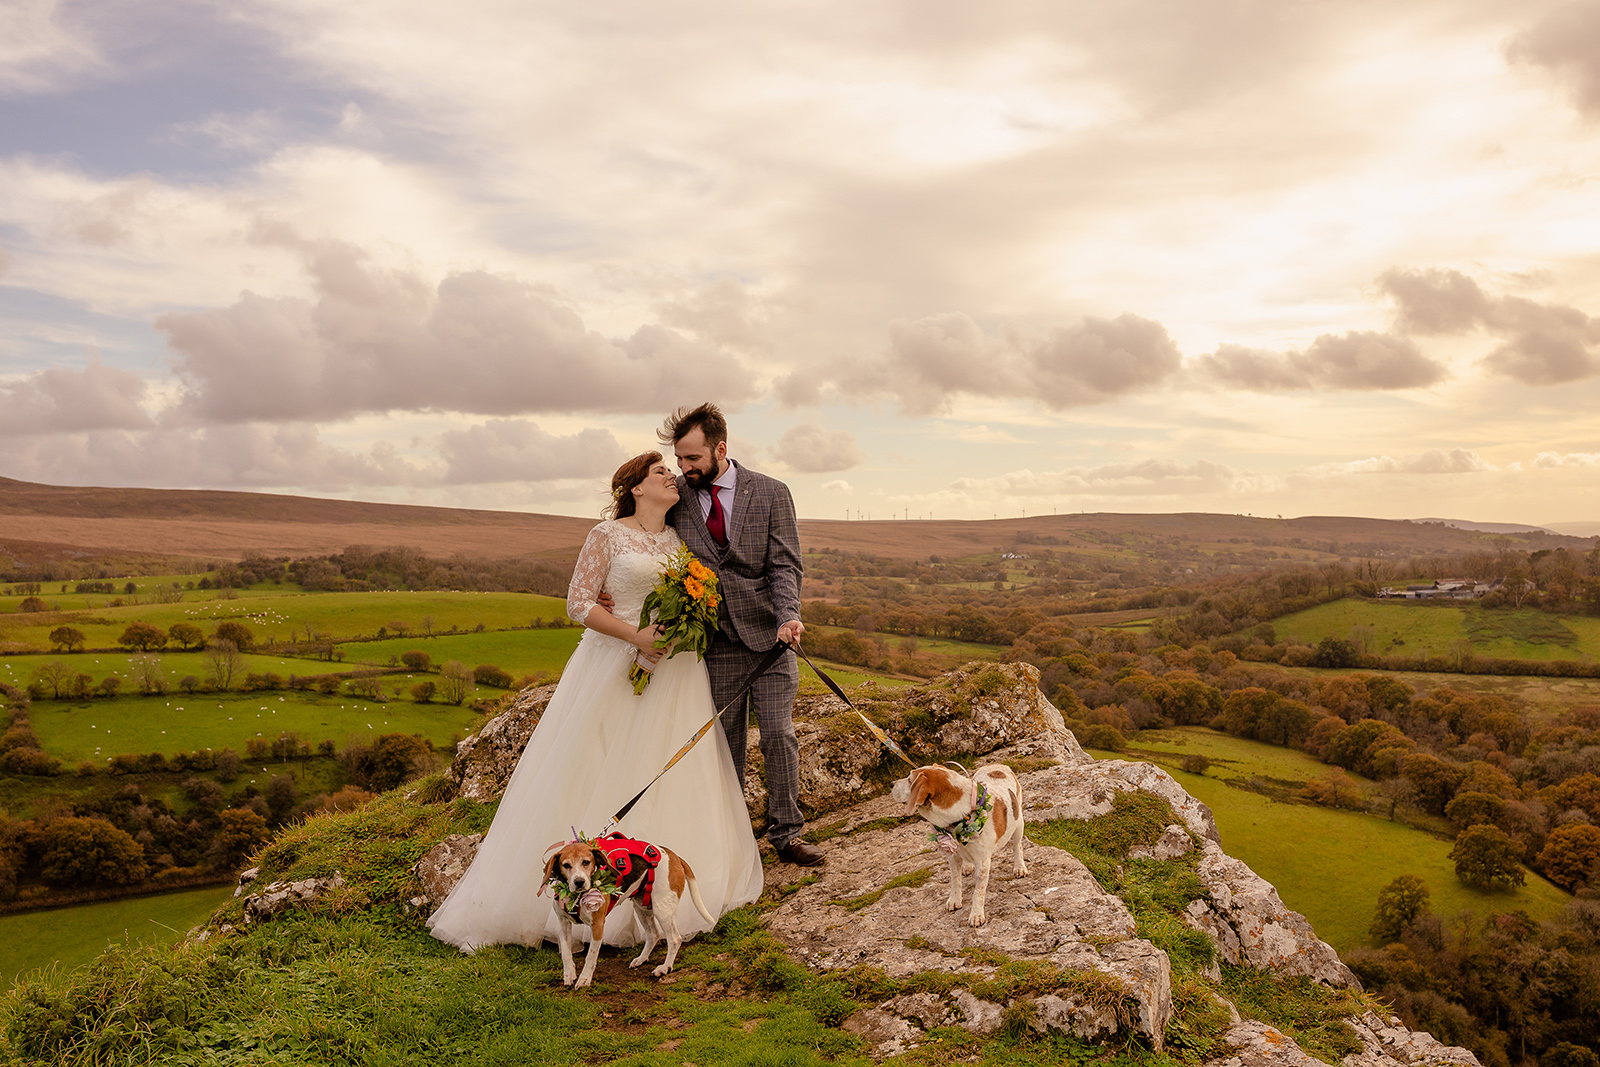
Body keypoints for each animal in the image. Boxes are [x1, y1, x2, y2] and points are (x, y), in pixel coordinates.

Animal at [540, 831, 710, 991]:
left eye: (586, 862)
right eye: (566, 865)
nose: (579, 882)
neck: (576, 896)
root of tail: (673, 855)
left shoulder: (597, 925)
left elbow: (591, 957)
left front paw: (585, 978)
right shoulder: (563, 924)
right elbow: (566, 953)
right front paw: (569, 974)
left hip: (662, 909)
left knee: (675, 939)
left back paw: (665, 967)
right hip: (642, 908)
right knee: (654, 934)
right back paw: (641, 959)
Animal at [889, 764, 1024, 927]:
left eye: (910, 780)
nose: (891, 784)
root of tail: (996, 765)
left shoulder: (983, 863)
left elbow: (978, 891)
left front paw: (976, 914)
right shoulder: (952, 856)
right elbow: (955, 881)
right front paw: (954, 900)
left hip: (1018, 823)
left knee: (1017, 847)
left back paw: (1020, 867)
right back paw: (967, 866)